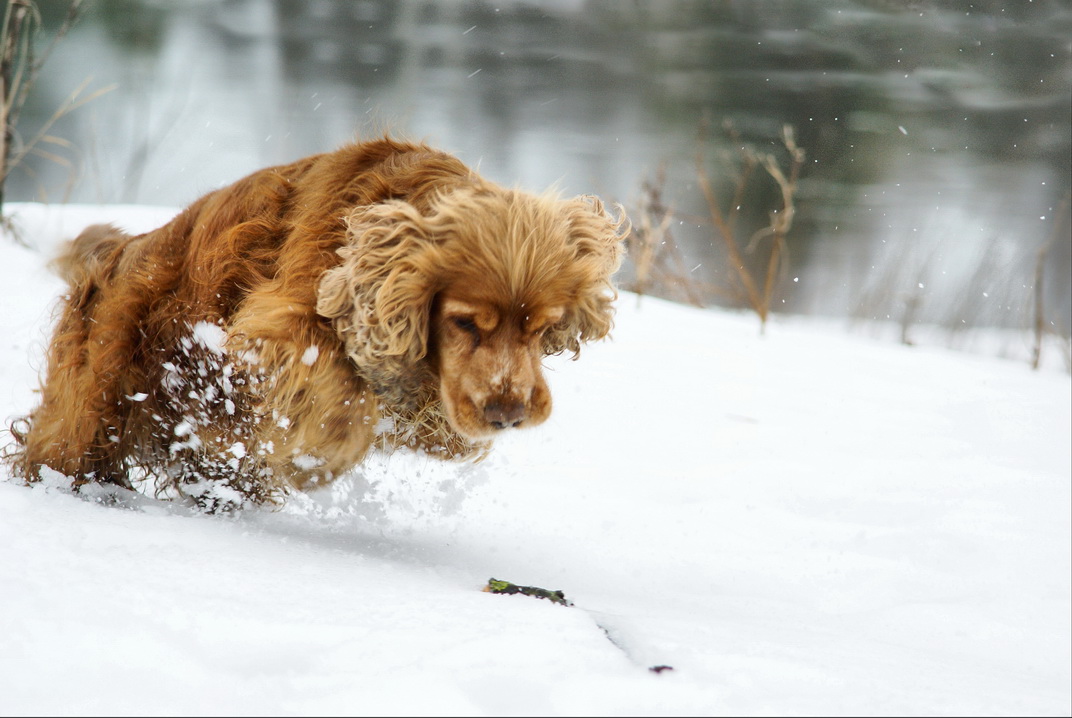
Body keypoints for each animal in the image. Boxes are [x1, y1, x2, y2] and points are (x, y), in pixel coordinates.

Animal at [6, 139, 626, 512]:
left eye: (542, 329)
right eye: (466, 323)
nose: (509, 414)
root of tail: (114, 253)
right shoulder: (278, 327)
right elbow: (335, 393)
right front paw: (315, 462)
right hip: (96, 397)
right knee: (57, 447)